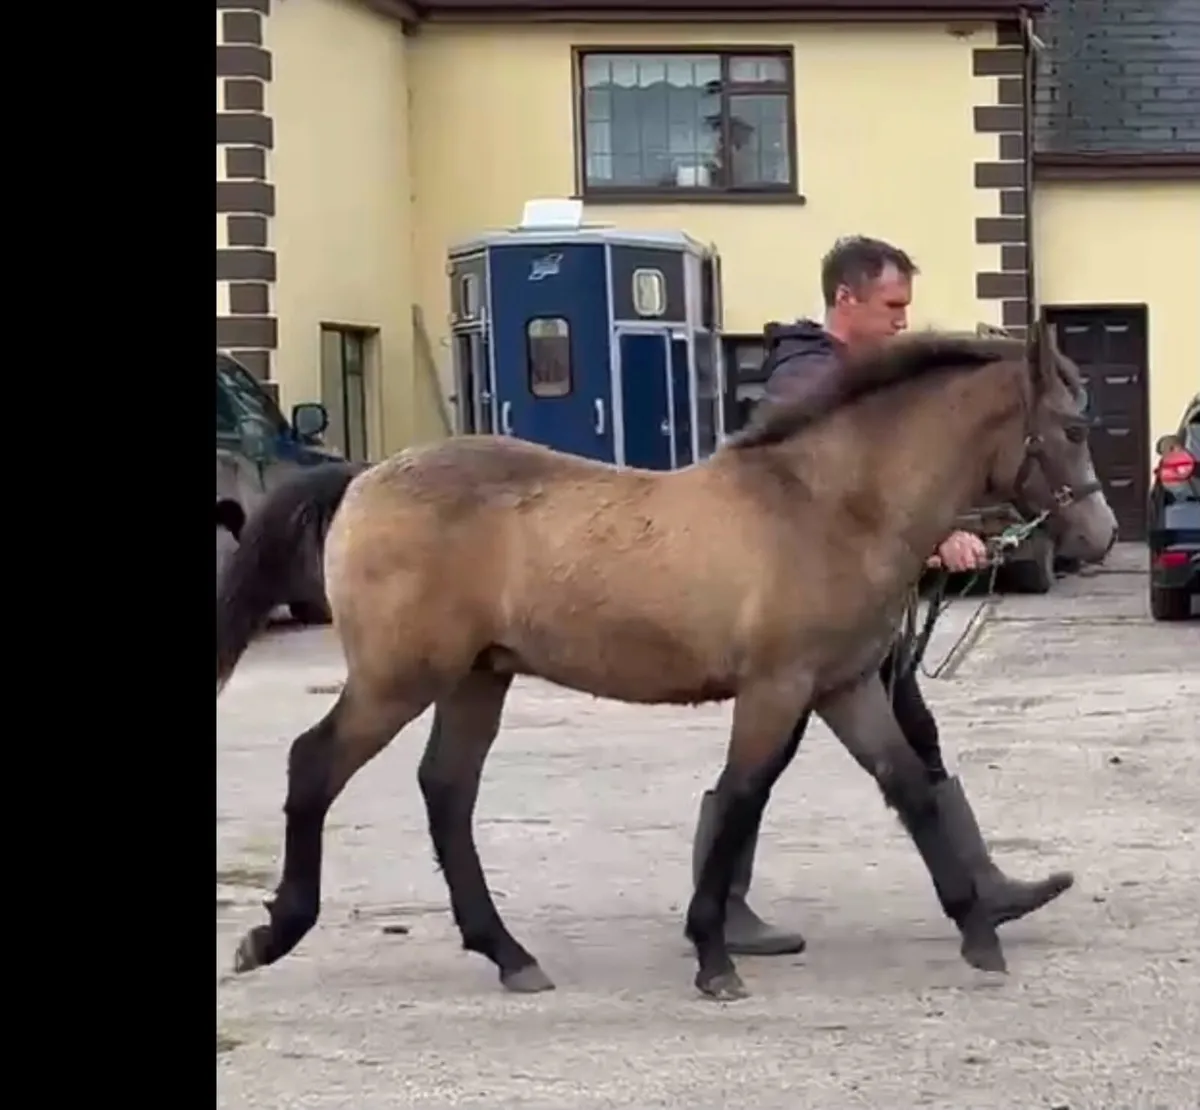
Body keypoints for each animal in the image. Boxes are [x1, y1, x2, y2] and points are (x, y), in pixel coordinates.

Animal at [216, 322, 1116, 1002]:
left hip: (478, 677)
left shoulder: (845, 686)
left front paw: (980, 932)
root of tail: (365, 475)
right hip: (399, 679)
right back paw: (275, 934)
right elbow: (743, 799)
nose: (1101, 536)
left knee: (447, 792)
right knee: (315, 765)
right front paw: (714, 961)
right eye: (1073, 428)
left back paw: (509, 954)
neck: (827, 506)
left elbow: (910, 788)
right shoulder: (777, 688)